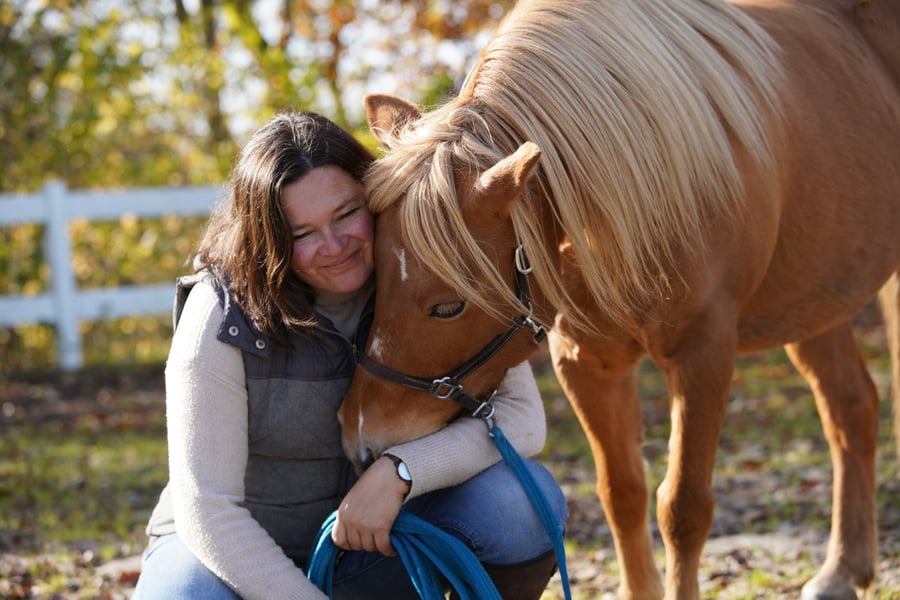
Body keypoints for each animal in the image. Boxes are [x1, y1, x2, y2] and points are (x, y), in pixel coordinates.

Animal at [338, 1, 900, 598]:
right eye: (373, 280)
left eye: (448, 306)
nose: (363, 442)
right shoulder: (587, 363)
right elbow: (622, 493)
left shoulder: (703, 355)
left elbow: (683, 508)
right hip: (815, 301)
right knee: (851, 407)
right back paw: (843, 568)